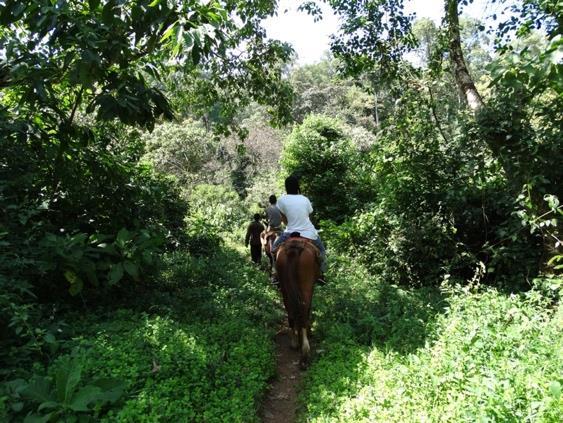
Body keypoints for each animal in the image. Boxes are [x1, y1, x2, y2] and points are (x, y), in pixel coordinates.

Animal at [274, 237, 320, 370]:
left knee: (290, 309)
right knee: (303, 310)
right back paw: (304, 353)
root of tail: (294, 247)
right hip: (306, 285)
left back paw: (294, 342)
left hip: (284, 286)